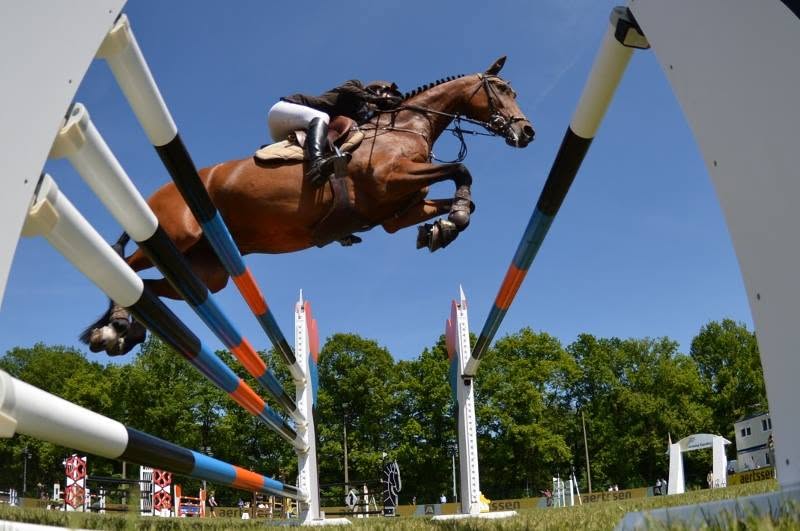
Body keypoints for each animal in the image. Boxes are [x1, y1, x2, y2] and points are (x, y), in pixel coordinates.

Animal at [83, 56, 535, 356]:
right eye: (502, 90)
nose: (527, 132)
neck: (407, 126)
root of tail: (157, 193)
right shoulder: (391, 180)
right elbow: (461, 169)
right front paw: (452, 220)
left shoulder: (398, 212)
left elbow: (456, 189)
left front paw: (444, 228)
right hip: (172, 237)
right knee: (125, 261)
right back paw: (113, 327)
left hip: (207, 270)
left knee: (159, 286)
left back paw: (121, 329)